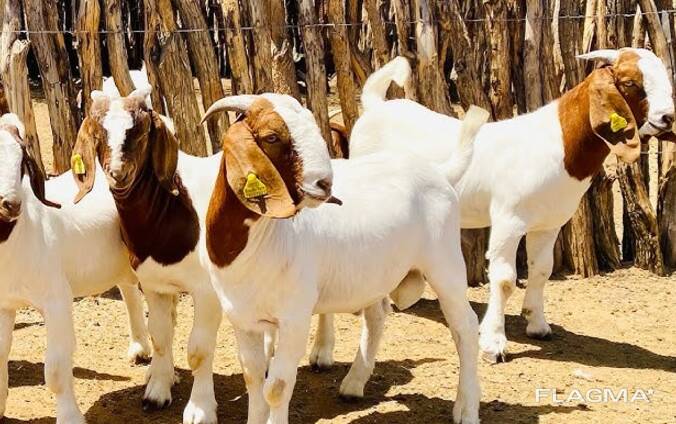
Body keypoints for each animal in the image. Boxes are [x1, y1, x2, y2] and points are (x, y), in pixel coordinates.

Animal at [0, 113, 150, 423]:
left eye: (21, 162)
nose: (11, 204)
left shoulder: (56, 299)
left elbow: (56, 370)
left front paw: (70, 416)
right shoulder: (3, 303)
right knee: (129, 290)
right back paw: (140, 348)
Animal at [71, 89, 222, 424]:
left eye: (140, 133)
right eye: (98, 134)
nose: (118, 173)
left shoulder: (207, 290)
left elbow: (200, 348)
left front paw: (200, 409)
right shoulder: (155, 285)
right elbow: (161, 336)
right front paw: (157, 392)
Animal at [201, 93, 488, 424]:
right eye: (272, 136)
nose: (324, 184)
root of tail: (439, 172)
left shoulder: (294, 318)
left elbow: (277, 387)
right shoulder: (242, 318)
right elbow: (253, 379)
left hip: (445, 263)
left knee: (465, 327)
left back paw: (466, 409)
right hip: (376, 274)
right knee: (377, 316)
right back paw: (354, 383)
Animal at [335, 48, 675, 363]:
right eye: (630, 82)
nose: (667, 117)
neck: (557, 144)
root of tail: (376, 106)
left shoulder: (549, 223)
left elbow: (542, 270)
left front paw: (537, 324)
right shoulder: (508, 220)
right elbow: (504, 279)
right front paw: (493, 342)